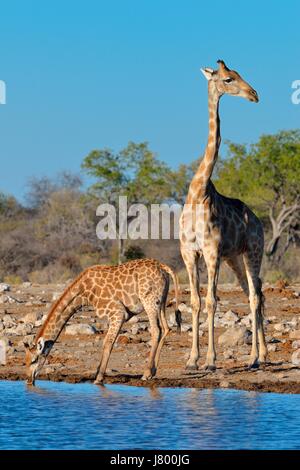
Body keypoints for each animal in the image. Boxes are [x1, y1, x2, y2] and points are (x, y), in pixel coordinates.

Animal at [24, 258, 179, 386]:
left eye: (34, 360)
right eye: (25, 361)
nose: (29, 380)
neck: (83, 293)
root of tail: (163, 267)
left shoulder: (117, 312)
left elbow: (108, 343)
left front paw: (99, 378)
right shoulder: (114, 316)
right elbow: (106, 342)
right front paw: (98, 373)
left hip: (149, 300)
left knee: (156, 330)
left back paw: (146, 374)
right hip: (161, 300)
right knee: (166, 328)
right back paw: (153, 372)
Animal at [180, 60, 268, 372]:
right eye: (229, 79)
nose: (254, 94)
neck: (198, 190)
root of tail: (258, 221)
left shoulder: (211, 252)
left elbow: (212, 301)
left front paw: (210, 361)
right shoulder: (189, 252)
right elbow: (195, 301)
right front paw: (192, 359)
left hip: (254, 251)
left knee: (254, 297)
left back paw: (254, 357)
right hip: (236, 258)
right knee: (255, 293)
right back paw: (262, 354)